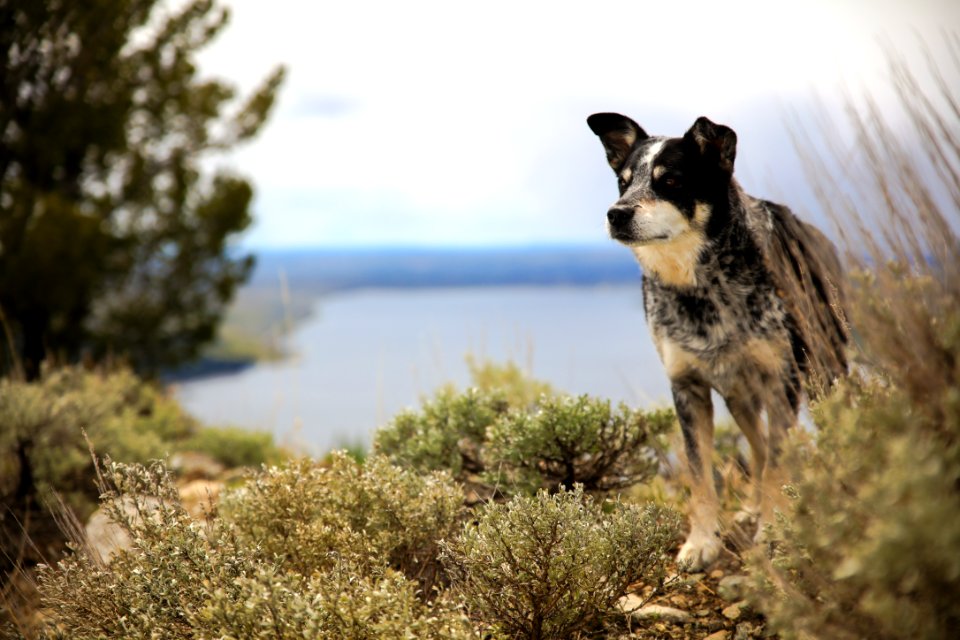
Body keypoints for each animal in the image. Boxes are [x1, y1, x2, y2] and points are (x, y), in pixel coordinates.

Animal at [584, 114, 848, 568]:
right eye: (623, 182)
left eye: (671, 181)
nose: (616, 214)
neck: (701, 287)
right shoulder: (687, 386)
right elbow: (700, 473)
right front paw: (702, 541)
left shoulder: (782, 381)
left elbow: (777, 462)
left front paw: (773, 531)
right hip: (739, 396)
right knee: (756, 447)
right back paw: (752, 507)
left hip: (824, 375)